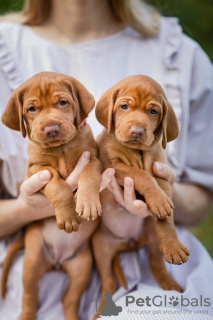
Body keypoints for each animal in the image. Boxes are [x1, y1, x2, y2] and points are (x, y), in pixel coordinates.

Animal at [0, 72, 102, 320]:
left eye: (63, 102)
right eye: (31, 109)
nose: (52, 128)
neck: (61, 147)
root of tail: (56, 262)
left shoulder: (93, 158)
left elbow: (89, 174)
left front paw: (88, 203)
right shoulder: (37, 170)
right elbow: (58, 185)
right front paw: (68, 216)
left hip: (82, 267)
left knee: (69, 299)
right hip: (33, 260)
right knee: (30, 298)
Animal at [92, 75, 191, 318]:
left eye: (153, 111)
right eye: (124, 106)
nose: (137, 131)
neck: (137, 152)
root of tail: (130, 245)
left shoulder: (161, 175)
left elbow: (166, 217)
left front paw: (173, 241)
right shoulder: (114, 166)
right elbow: (140, 175)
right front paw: (158, 200)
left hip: (153, 241)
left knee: (158, 266)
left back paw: (172, 286)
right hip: (101, 249)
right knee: (109, 283)